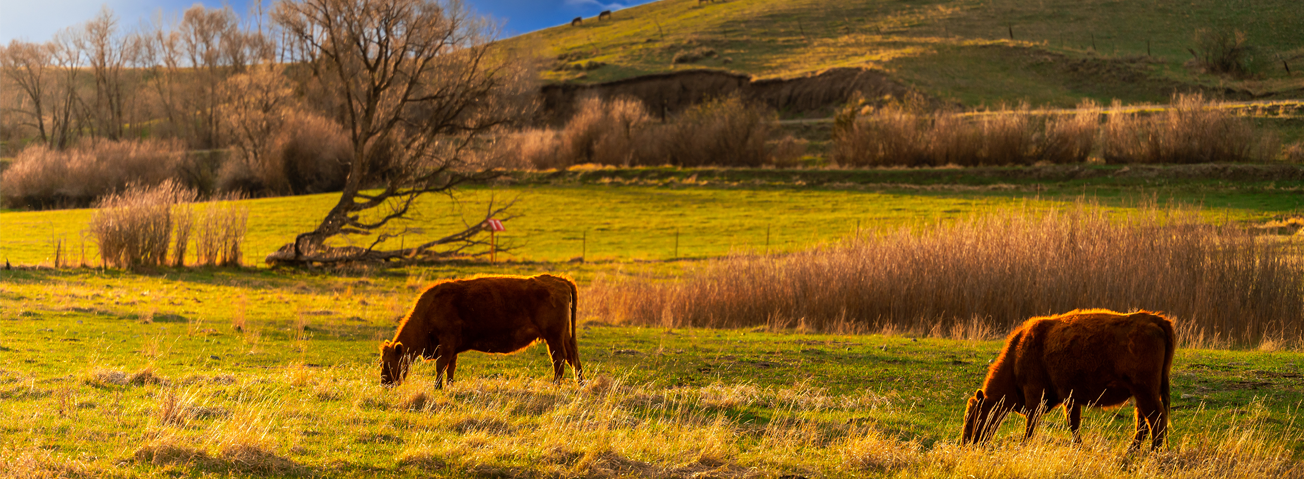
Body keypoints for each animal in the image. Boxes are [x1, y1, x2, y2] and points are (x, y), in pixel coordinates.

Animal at [378, 275, 581, 388]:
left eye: (387, 363)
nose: (385, 383)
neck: (430, 308)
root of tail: (560, 281)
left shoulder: (447, 344)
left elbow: (441, 366)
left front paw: (437, 387)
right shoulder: (452, 348)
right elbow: (450, 368)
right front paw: (449, 386)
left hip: (553, 337)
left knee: (559, 359)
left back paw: (556, 385)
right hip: (563, 336)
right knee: (572, 356)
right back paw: (580, 383)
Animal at [964, 309, 1178, 451]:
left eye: (971, 416)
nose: (966, 443)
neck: (1016, 356)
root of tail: (1154, 319)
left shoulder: (1034, 395)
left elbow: (1032, 423)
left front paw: (1024, 445)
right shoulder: (1071, 398)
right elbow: (1073, 425)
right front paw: (1078, 447)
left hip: (1145, 391)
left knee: (1155, 419)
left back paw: (1153, 452)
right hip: (1140, 394)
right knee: (1143, 421)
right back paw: (1132, 451)